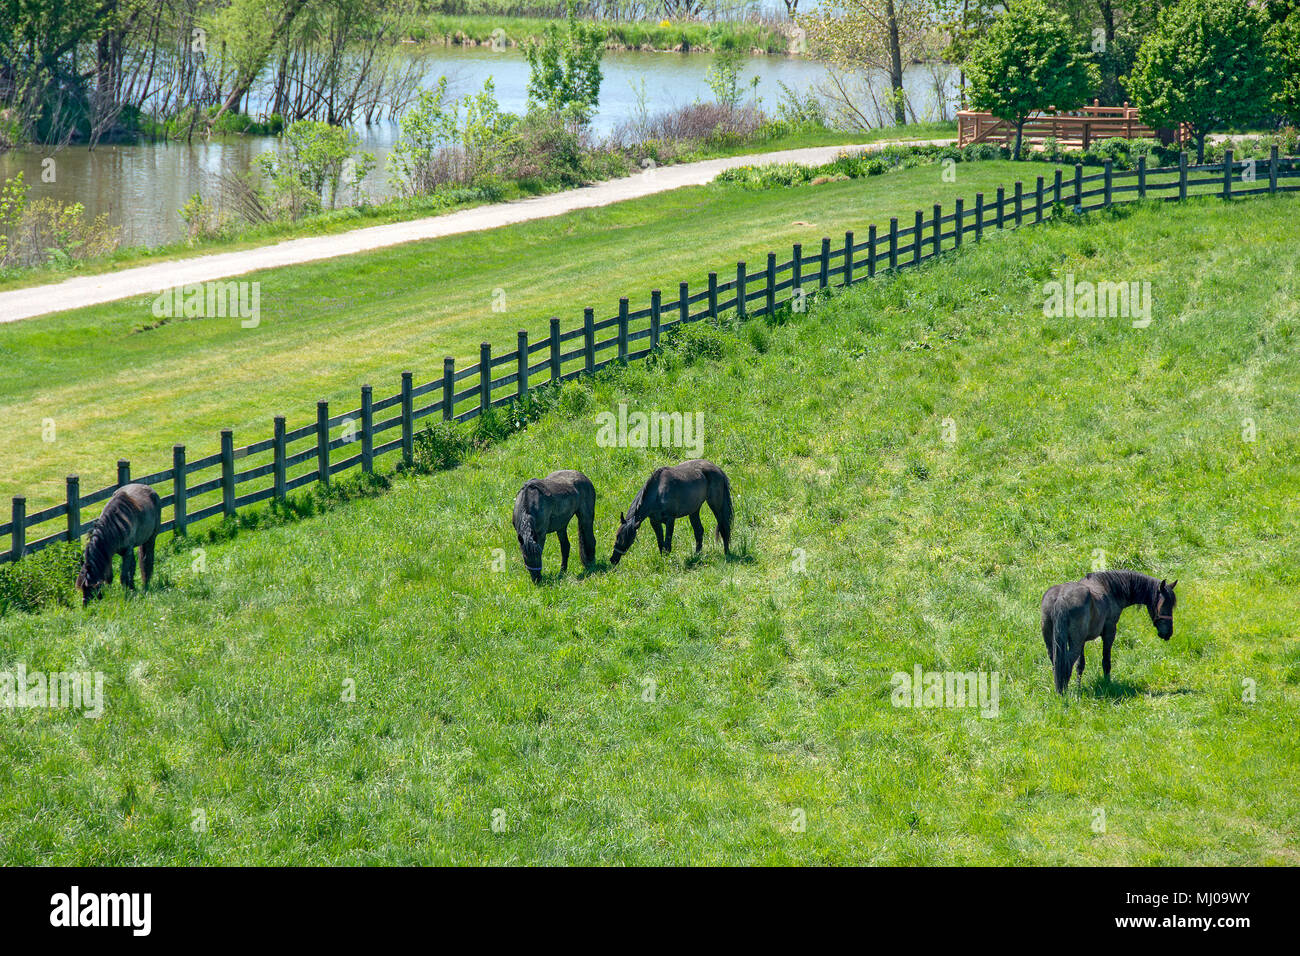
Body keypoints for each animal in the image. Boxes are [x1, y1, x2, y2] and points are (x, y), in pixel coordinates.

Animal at [1040, 571, 1177, 693]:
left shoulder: (1083, 641)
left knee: (1056, 664)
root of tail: (1061, 599)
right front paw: (1107, 683)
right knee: (1067, 664)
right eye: (1164, 604)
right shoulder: (1109, 632)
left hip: (1054, 644)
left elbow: (1080, 665)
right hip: (1075, 643)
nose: (1168, 633)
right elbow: (1106, 661)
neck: (1108, 588)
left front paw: (1079, 687)